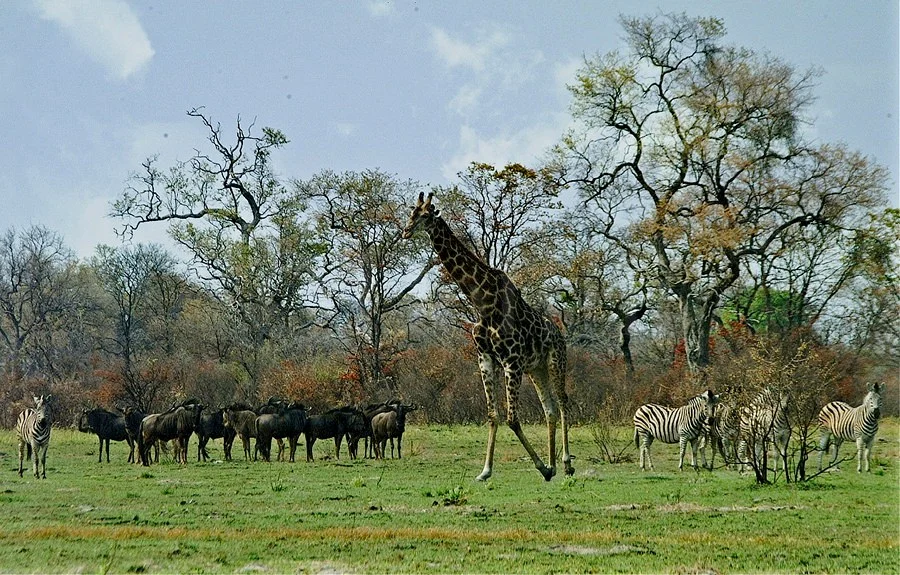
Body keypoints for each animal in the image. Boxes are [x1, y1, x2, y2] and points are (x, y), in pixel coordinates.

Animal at [402, 192, 574, 481]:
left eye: (425, 215)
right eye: (410, 213)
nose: (405, 231)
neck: (483, 302)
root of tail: (559, 335)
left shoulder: (512, 361)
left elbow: (512, 418)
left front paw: (539, 466)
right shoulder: (485, 358)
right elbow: (493, 415)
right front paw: (485, 471)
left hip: (554, 361)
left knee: (563, 402)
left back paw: (566, 464)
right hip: (536, 368)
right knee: (549, 408)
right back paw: (552, 465)